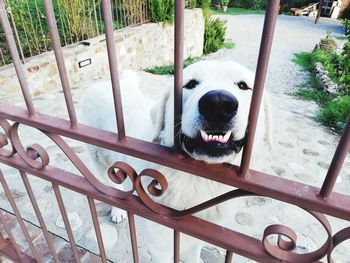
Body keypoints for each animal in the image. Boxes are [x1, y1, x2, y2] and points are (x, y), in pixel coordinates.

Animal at [83, 60, 272, 262]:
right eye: (190, 84)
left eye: (243, 85)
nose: (218, 103)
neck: (196, 179)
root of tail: (100, 84)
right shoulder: (161, 247)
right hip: (99, 159)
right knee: (111, 186)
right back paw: (117, 210)